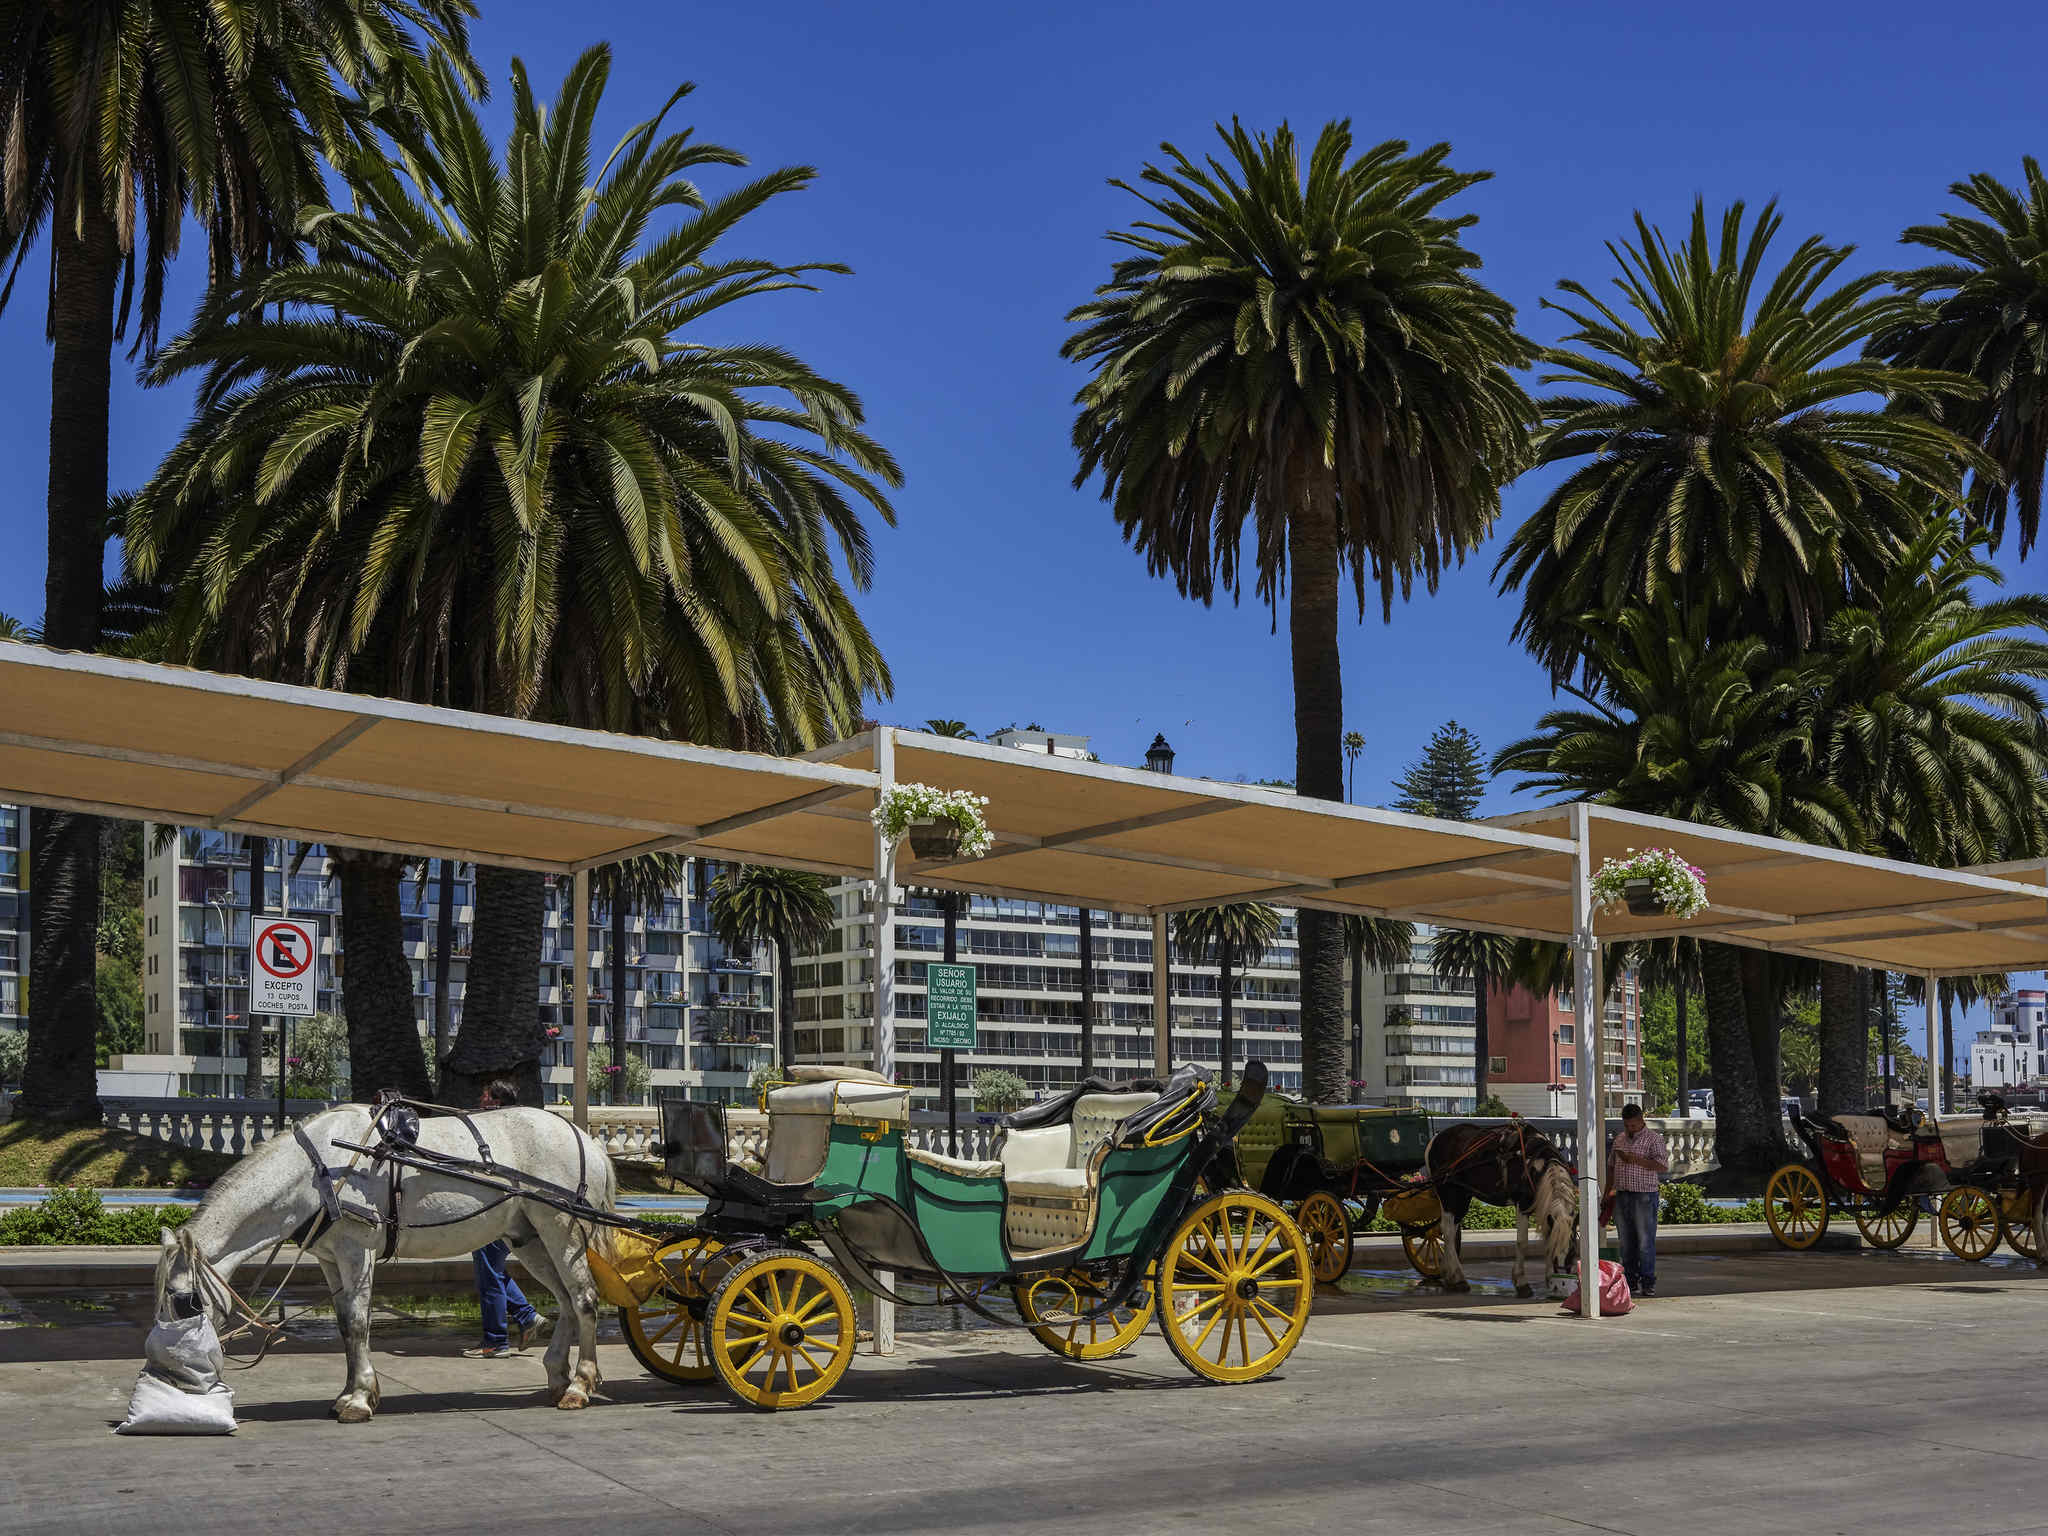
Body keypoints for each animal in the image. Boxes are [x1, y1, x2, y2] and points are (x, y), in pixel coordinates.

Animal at [155, 1097, 610, 1425]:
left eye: (184, 1301)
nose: (170, 1374)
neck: (315, 1170)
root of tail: (583, 1137)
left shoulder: (357, 1252)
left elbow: (358, 1324)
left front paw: (358, 1400)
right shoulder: (331, 1259)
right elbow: (343, 1326)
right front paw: (348, 1393)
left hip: (560, 1226)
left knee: (584, 1298)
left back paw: (581, 1385)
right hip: (529, 1238)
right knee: (567, 1301)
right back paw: (558, 1376)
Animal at [1425, 1122, 1581, 1302]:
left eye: (1572, 1252)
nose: (1561, 1283)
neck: (1536, 1162)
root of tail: (1436, 1138)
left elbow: (1547, 1238)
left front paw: (1549, 1279)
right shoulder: (1523, 1204)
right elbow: (1522, 1243)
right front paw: (1521, 1282)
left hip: (1463, 1196)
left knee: (1452, 1229)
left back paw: (1448, 1274)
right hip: (1447, 1192)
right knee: (1448, 1232)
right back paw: (1458, 1277)